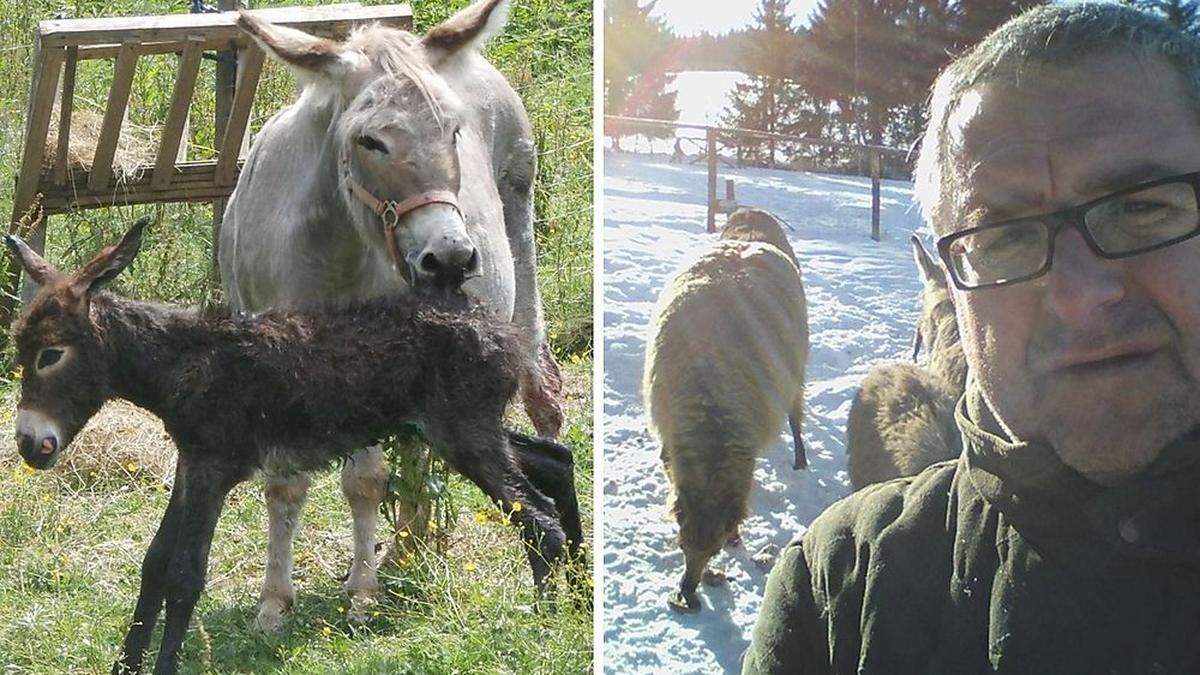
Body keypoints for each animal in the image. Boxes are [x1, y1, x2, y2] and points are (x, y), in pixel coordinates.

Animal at [4, 218, 576, 667]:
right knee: (555, 461)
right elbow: (156, 564)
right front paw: (126, 664)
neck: (182, 359)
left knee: (538, 517)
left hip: (461, 433)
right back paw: (579, 593)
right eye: (22, 349)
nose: (30, 444)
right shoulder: (191, 464)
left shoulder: (213, 468)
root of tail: (486, 319)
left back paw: (546, 623)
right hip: (453, 427)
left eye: (51, 354)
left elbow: (186, 574)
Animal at [648, 207, 806, 612]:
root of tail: (752, 215)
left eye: (716, 549)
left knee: (797, 414)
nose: (687, 592)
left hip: (797, 370)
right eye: (681, 543)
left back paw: (800, 459)